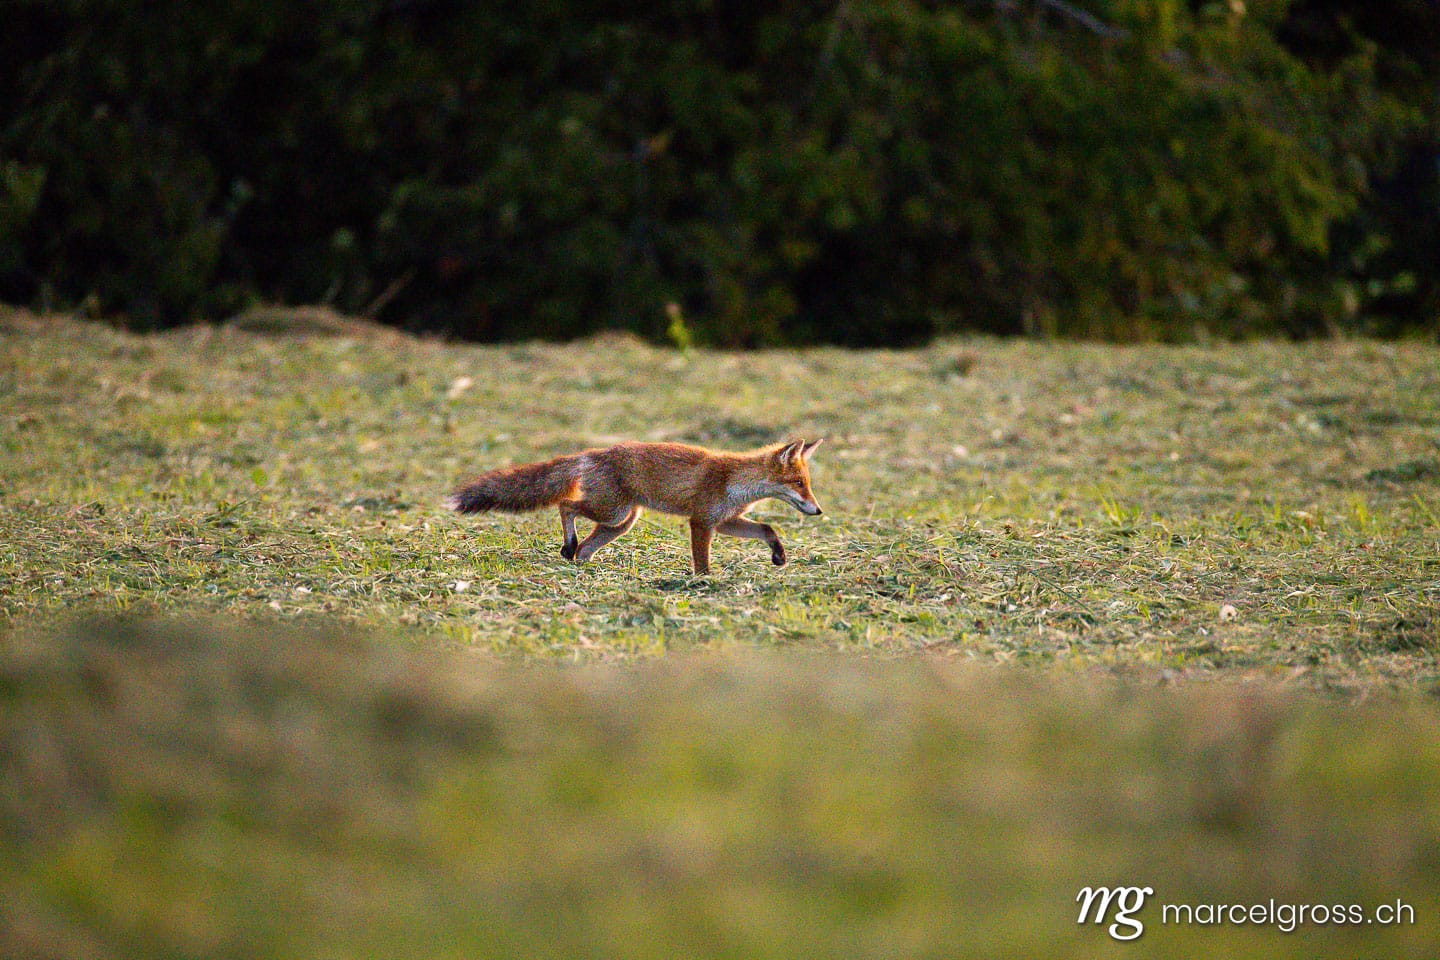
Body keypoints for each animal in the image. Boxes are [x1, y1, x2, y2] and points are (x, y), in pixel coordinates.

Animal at [445, 438, 825, 574]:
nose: (818, 511)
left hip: (620, 521)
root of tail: (591, 453)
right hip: (612, 512)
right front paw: (705, 583)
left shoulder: (725, 521)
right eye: (799, 484)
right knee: (566, 505)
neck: (736, 480)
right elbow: (702, 561)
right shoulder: (702, 521)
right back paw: (568, 546)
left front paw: (779, 555)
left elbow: (768, 529)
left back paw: (585, 565)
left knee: (585, 547)